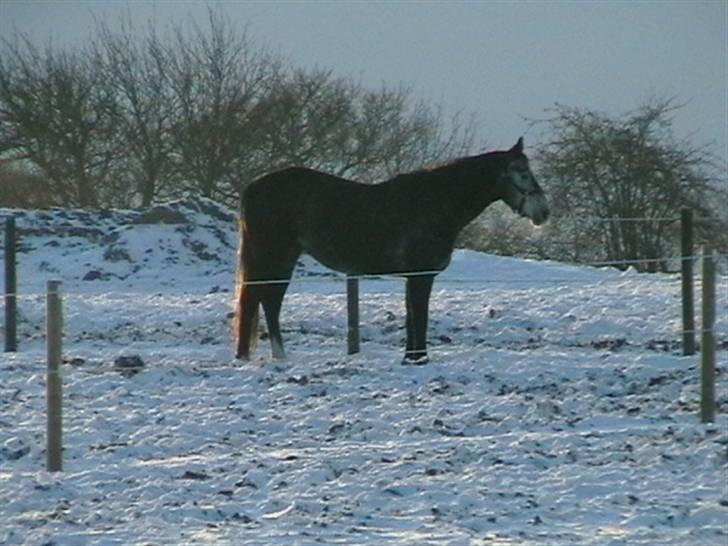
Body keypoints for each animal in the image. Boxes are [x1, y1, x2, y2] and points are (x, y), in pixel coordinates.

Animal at [236, 138, 548, 364]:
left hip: (284, 258)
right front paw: (420, 359)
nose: (543, 212)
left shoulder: (413, 276)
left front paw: (411, 358)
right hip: (272, 256)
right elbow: (420, 316)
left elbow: (411, 316)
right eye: (522, 173)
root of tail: (252, 187)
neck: (436, 202)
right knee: (259, 299)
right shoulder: (421, 275)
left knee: (269, 301)